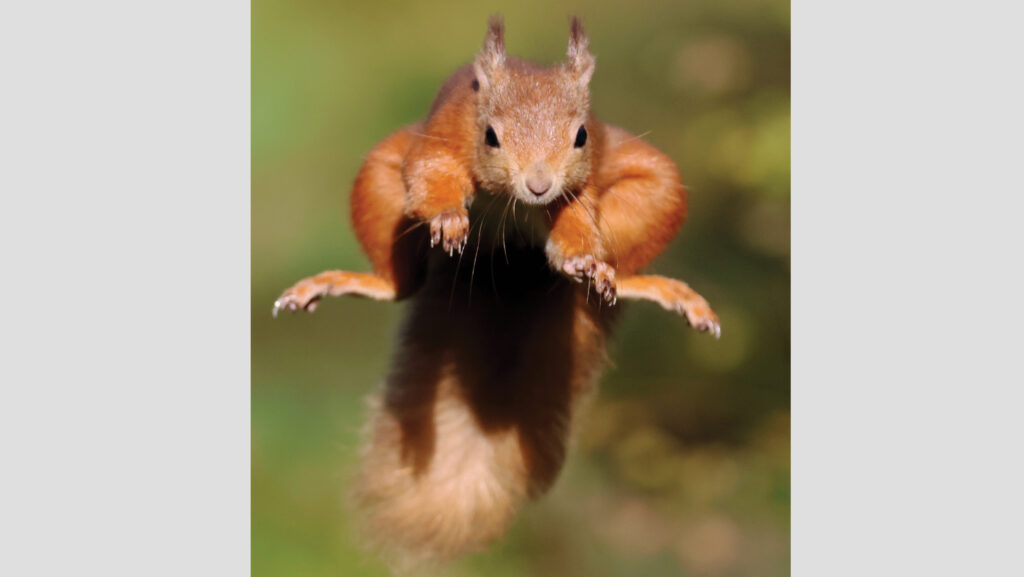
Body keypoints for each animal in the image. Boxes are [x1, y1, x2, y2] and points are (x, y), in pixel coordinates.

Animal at [273, 15, 720, 570]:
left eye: (581, 136)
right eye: (490, 135)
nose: (538, 185)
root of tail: (508, 253)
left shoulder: (585, 183)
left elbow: (577, 221)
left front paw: (580, 257)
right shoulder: (442, 136)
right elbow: (430, 176)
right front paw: (447, 216)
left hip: (657, 186)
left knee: (611, 260)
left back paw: (630, 280)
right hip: (377, 178)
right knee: (400, 284)